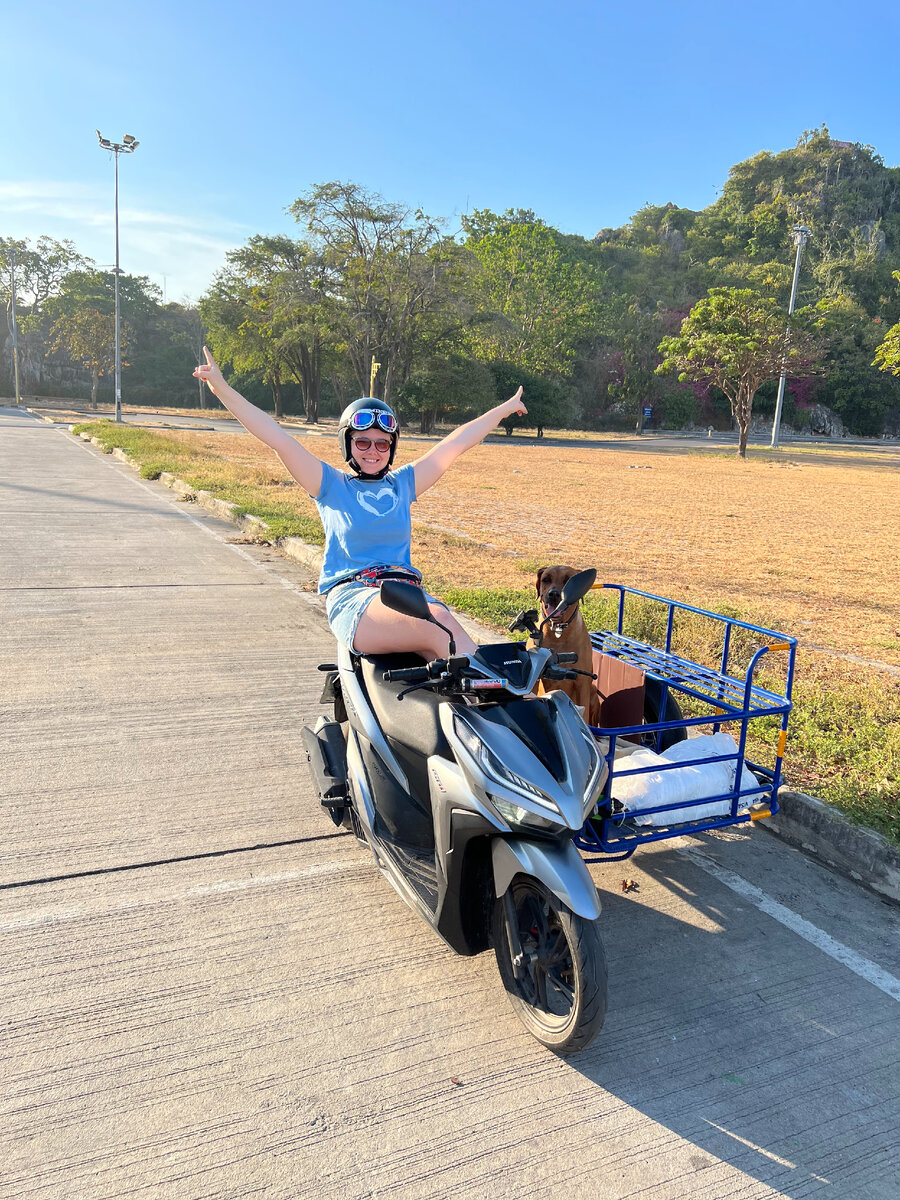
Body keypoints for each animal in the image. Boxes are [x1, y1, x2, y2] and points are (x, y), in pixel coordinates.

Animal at [528, 566, 600, 724]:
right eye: (546, 579)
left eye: (568, 580)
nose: (554, 594)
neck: (558, 632)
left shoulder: (582, 683)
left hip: (593, 693)